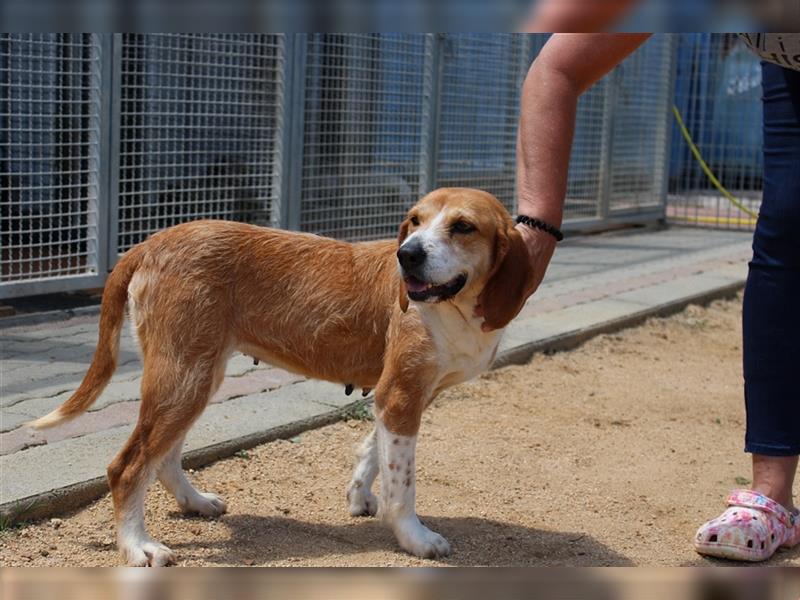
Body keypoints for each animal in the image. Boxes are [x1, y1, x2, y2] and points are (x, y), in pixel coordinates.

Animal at [29, 189, 532, 568]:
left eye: (463, 226)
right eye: (415, 220)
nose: (406, 255)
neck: (456, 308)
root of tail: (149, 242)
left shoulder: (401, 398)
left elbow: (375, 452)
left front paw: (359, 496)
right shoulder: (401, 395)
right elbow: (402, 484)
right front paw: (413, 537)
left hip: (197, 373)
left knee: (164, 455)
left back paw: (194, 502)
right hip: (184, 376)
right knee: (128, 465)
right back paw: (138, 546)